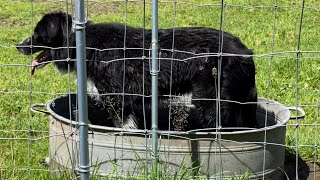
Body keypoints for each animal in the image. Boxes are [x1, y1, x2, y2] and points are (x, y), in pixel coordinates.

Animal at [16, 11, 258, 129]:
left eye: (37, 34)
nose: (18, 46)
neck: (84, 44)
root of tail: (245, 52)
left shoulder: (118, 100)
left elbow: (124, 129)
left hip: (213, 102)